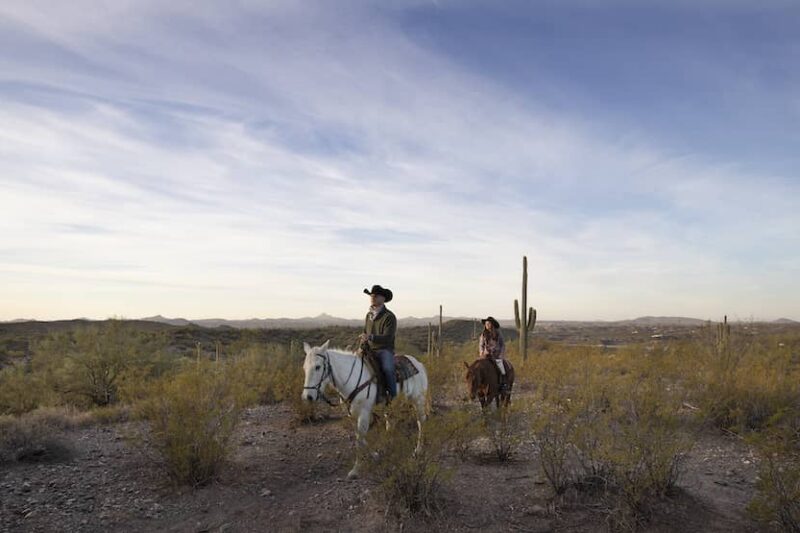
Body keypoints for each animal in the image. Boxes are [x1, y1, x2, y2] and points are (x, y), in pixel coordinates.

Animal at [300, 340, 428, 478]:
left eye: (318, 367)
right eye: (304, 368)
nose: (308, 396)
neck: (352, 378)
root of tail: (418, 363)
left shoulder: (364, 413)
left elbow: (359, 440)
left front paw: (356, 469)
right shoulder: (351, 414)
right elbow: (360, 437)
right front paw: (375, 455)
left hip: (418, 399)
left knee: (421, 422)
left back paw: (418, 450)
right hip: (390, 405)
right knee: (391, 423)